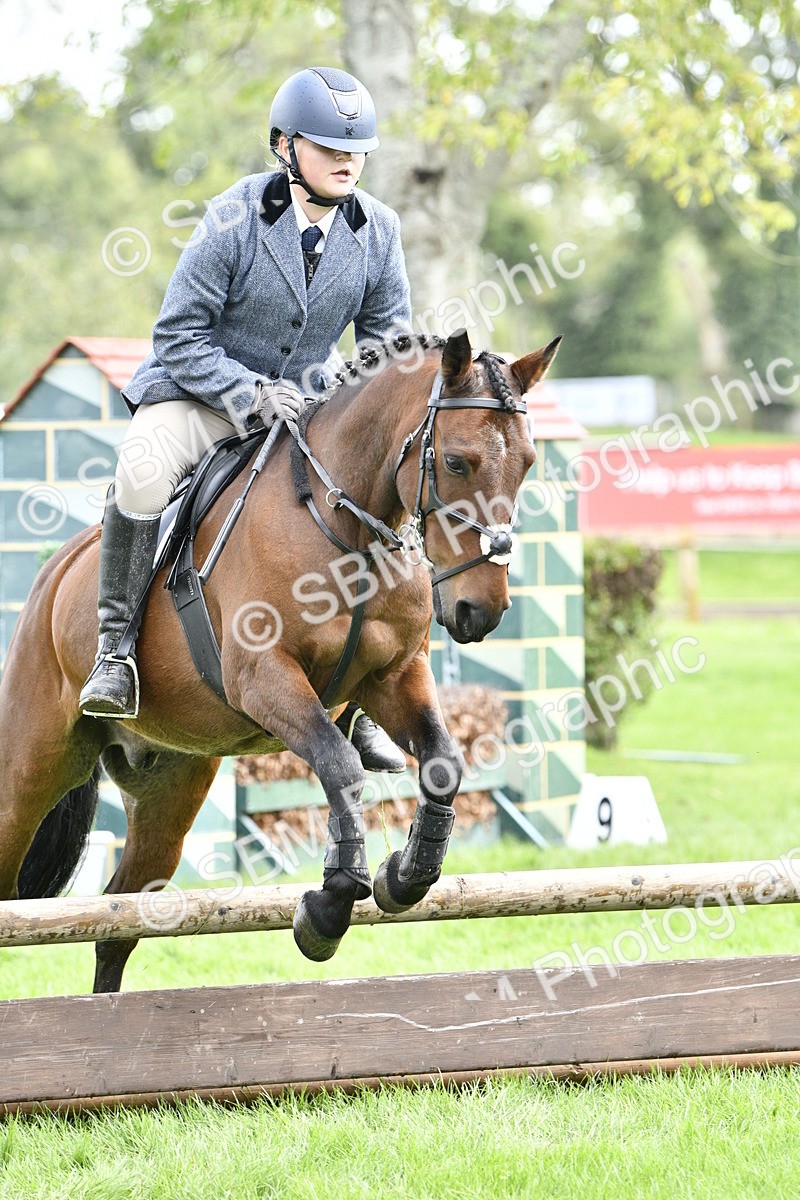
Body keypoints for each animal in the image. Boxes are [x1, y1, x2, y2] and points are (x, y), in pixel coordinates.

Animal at [0, 328, 558, 993]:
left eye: (528, 463)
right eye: (455, 462)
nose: (483, 610)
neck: (348, 528)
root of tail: (53, 575)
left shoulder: (393, 678)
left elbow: (442, 763)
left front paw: (402, 877)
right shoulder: (265, 680)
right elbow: (340, 764)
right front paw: (330, 906)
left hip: (167, 786)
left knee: (120, 919)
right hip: (29, 770)